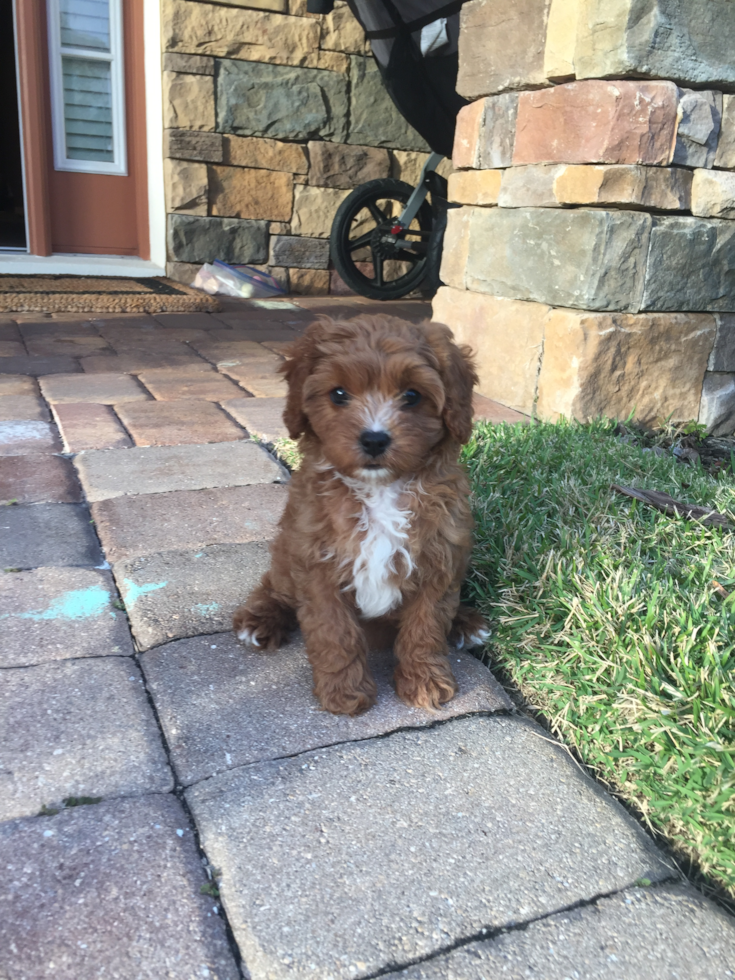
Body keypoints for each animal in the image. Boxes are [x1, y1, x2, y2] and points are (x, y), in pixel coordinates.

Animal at [233, 318, 492, 716]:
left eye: (412, 396)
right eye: (339, 394)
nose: (374, 439)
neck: (381, 489)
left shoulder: (441, 557)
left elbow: (426, 627)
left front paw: (425, 681)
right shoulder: (317, 563)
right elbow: (334, 632)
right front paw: (345, 692)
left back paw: (466, 622)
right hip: (286, 554)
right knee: (274, 586)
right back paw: (261, 618)